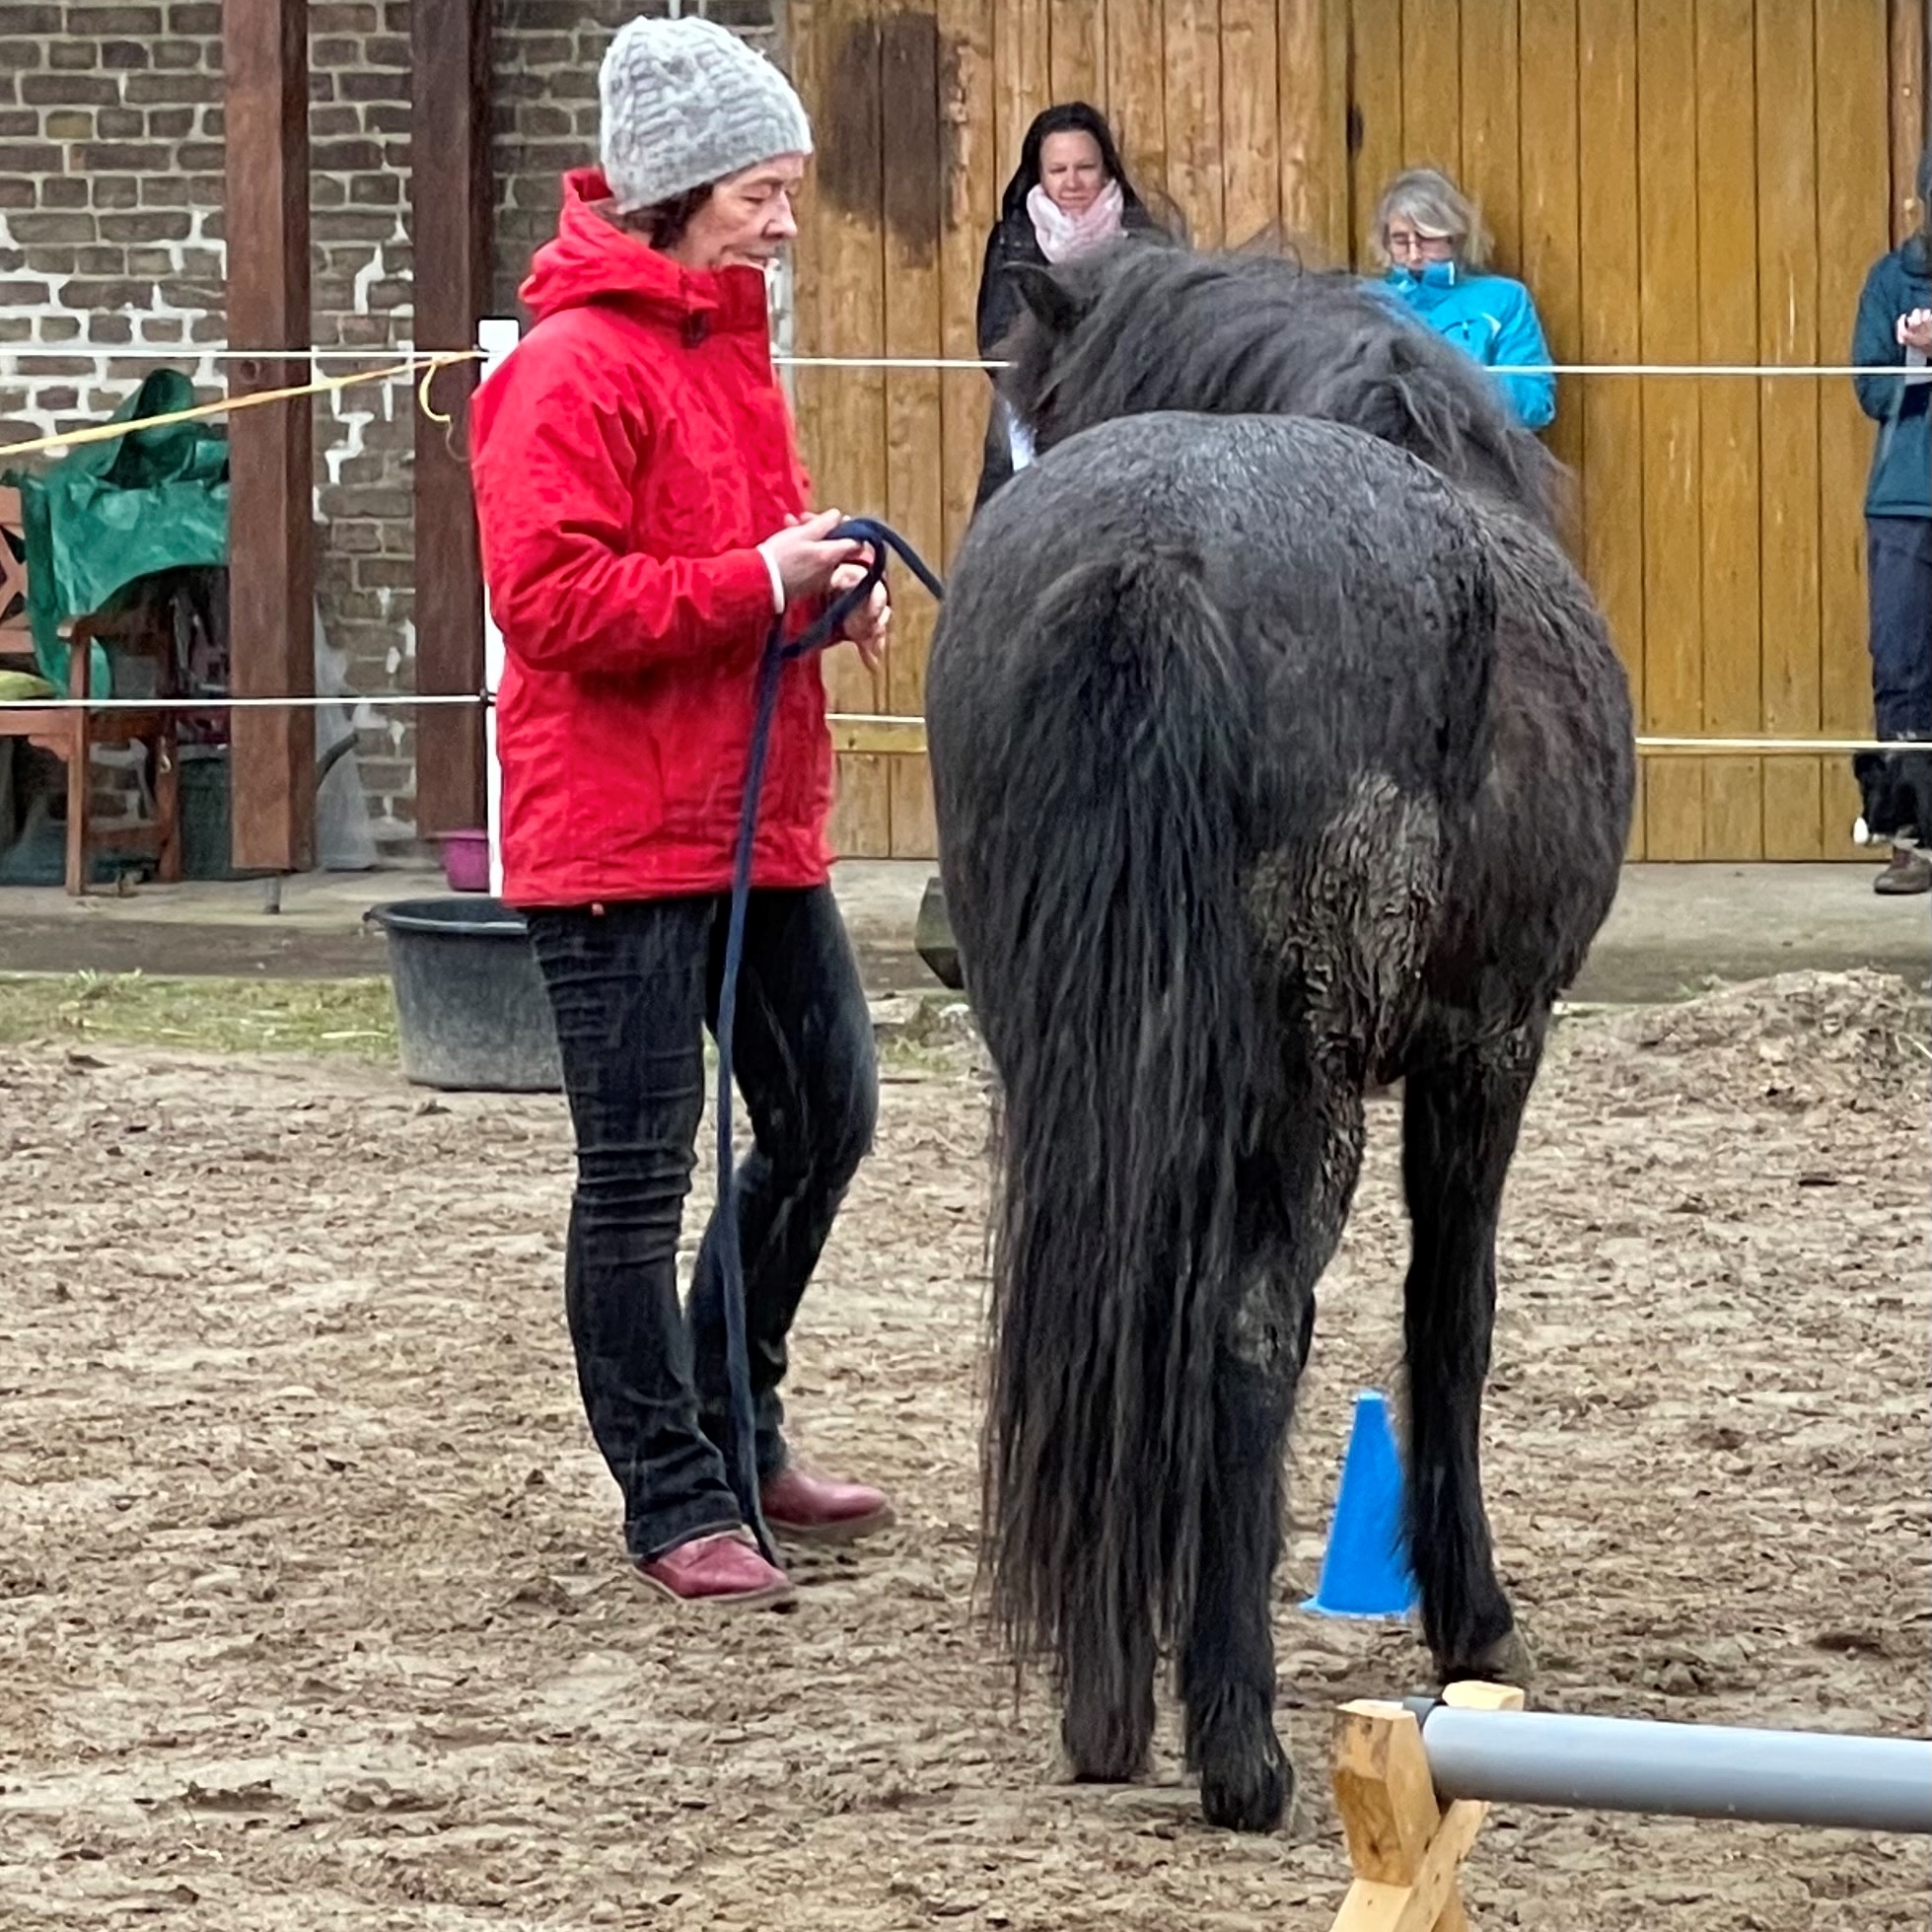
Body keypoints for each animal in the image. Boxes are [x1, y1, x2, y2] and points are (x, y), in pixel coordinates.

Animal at [919, 249, 1630, 1831]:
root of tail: (1153, 559)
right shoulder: (1488, 1047)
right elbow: (1451, 1313)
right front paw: (1474, 1619)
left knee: (1113, 1305)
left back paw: (1109, 1701)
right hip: (1307, 1084)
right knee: (1248, 1323)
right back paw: (1238, 1743)